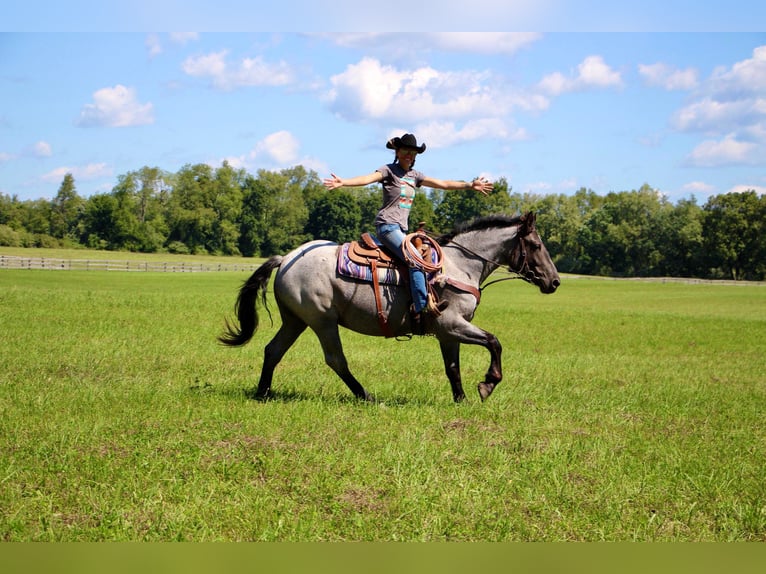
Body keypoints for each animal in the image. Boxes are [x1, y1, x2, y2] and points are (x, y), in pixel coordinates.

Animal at [219, 212, 560, 404]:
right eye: (536, 245)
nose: (554, 281)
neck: (459, 265)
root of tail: (286, 258)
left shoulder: (448, 333)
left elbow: (453, 368)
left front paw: (461, 399)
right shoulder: (452, 324)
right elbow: (494, 341)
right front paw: (488, 384)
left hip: (296, 320)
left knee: (273, 350)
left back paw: (263, 393)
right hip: (322, 321)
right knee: (336, 360)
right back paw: (365, 396)